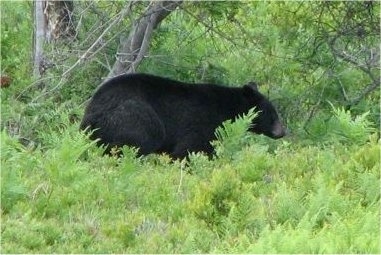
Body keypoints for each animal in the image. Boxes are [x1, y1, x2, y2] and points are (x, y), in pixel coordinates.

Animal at [79, 72, 282, 158]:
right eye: (272, 113)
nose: (283, 131)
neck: (225, 109)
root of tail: (89, 115)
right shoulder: (201, 121)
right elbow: (191, 148)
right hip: (131, 115)